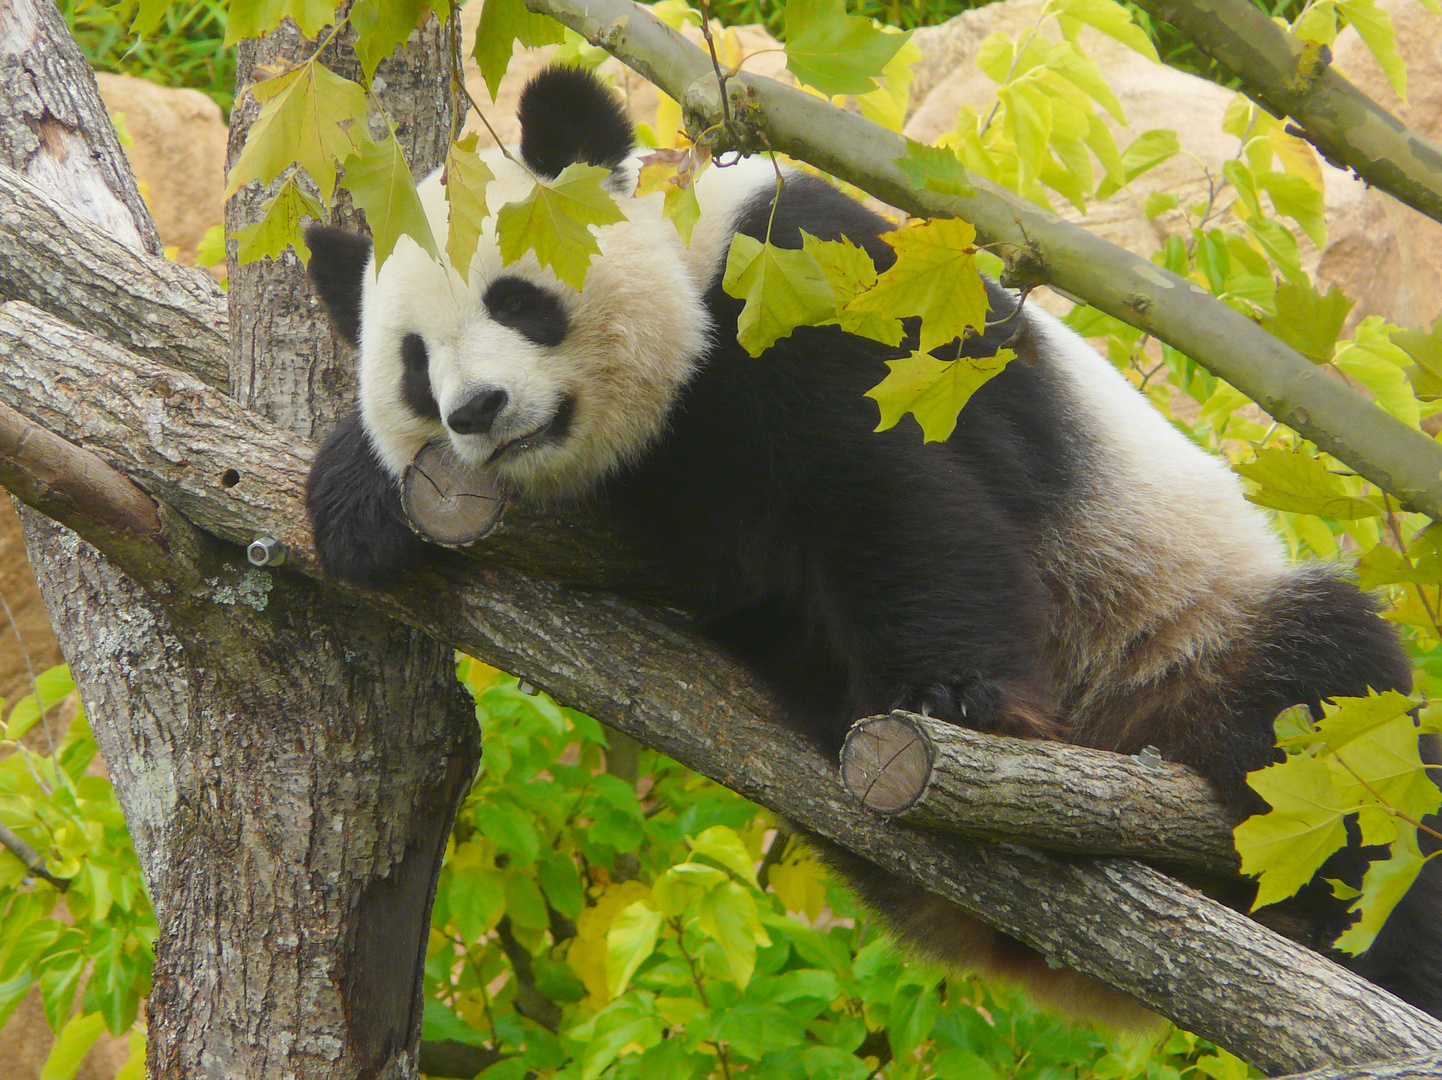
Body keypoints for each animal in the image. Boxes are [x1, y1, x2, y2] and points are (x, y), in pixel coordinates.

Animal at [301, 65, 1442, 1020]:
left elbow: (886, 488)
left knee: (1337, 749)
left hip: (1185, 632)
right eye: (414, 365)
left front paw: (952, 696)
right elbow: (714, 551)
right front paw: (354, 500)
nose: (477, 410)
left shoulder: (803, 279)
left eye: (518, 300)